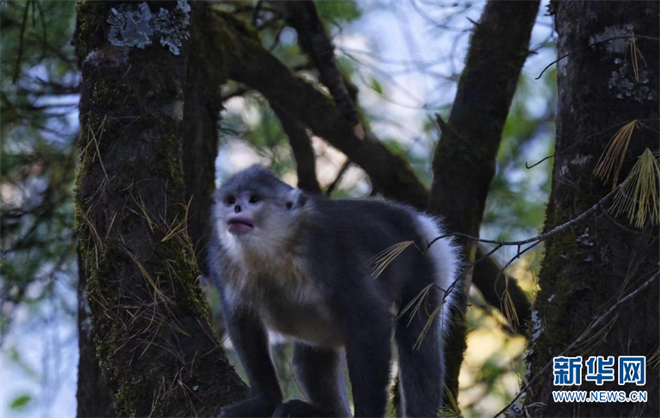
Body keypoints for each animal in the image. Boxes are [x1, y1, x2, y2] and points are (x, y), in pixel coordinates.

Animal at [208, 166, 458, 418]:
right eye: (231, 201)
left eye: (254, 199)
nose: (237, 208)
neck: (275, 248)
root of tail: (418, 221)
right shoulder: (223, 263)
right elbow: (243, 322)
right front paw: (265, 400)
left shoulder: (331, 253)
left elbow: (371, 321)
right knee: (309, 357)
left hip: (428, 266)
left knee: (417, 341)